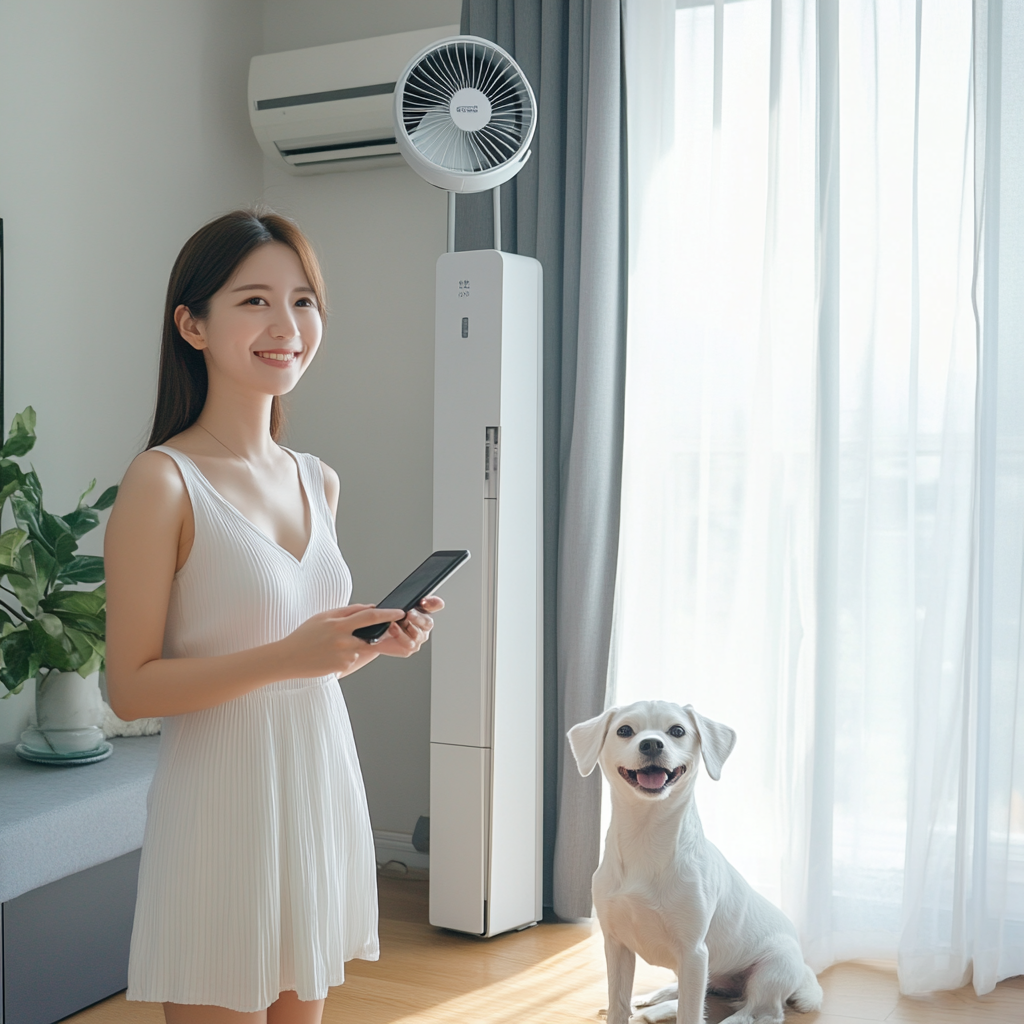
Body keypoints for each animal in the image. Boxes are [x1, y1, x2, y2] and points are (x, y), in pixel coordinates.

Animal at [569, 704, 823, 1024]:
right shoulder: (617, 945)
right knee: (692, 994)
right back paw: (650, 1004)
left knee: (758, 1012)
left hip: (769, 970)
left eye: (677, 730)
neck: (646, 837)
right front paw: (626, 1007)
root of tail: (803, 967)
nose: (651, 744)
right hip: (706, 972)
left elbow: (689, 1013)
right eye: (624, 730)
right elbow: (618, 1004)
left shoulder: (693, 952)